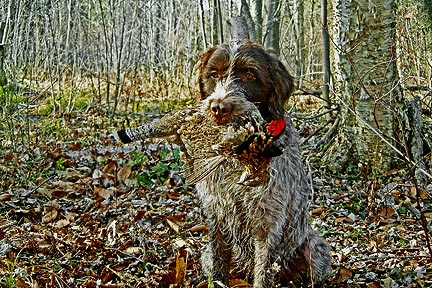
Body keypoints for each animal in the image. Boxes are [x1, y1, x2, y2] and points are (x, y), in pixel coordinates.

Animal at [193, 40, 330, 286]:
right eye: (214, 74)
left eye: (250, 74)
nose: (219, 108)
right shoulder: (216, 212)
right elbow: (219, 262)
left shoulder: (268, 220)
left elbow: (264, 270)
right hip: (207, 254)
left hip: (314, 249)